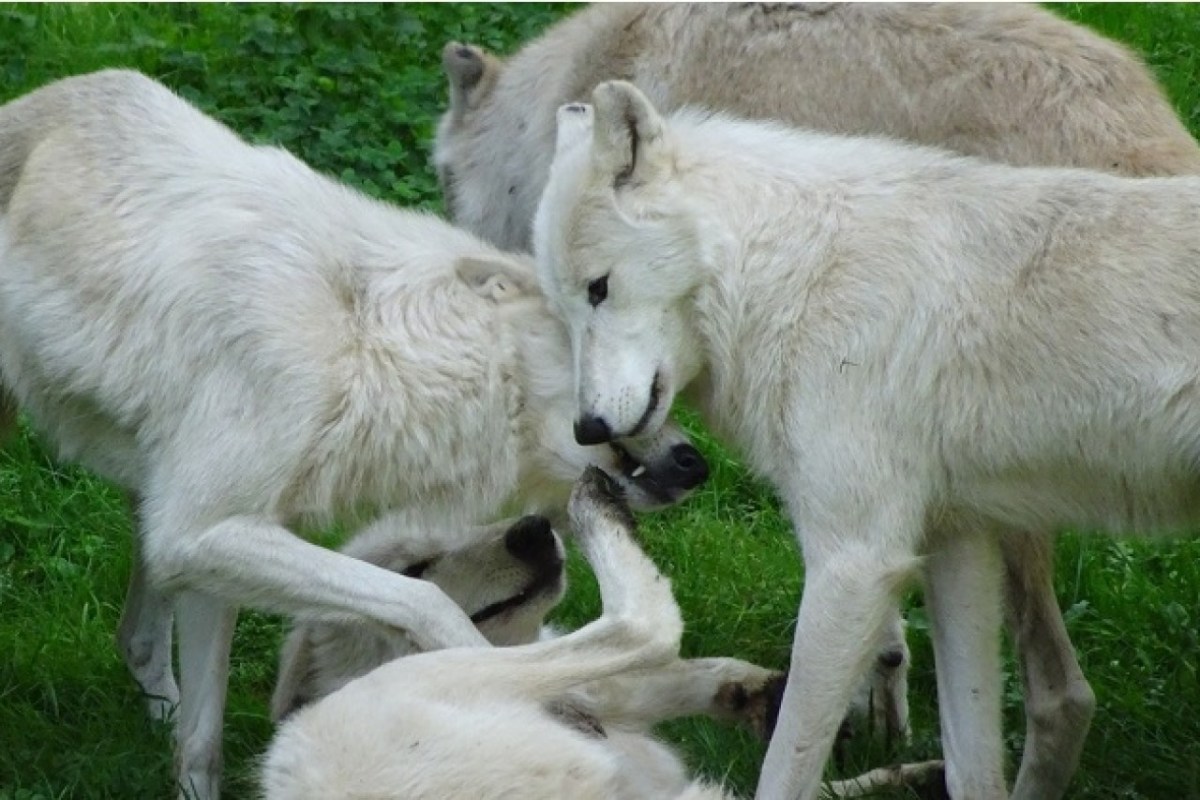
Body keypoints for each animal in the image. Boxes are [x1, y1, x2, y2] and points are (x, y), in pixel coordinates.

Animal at [0, 70, 708, 800]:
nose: (695, 463)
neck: (365, 344)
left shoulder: (213, 542)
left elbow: (201, 744)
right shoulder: (200, 531)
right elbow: (428, 605)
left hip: (158, 513)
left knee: (139, 642)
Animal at [262, 470, 943, 800]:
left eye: (476, 519)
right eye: (413, 566)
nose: (532, 530)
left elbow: (677, 679)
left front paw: (755, 694)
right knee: (642, 625)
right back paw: (595, 503)